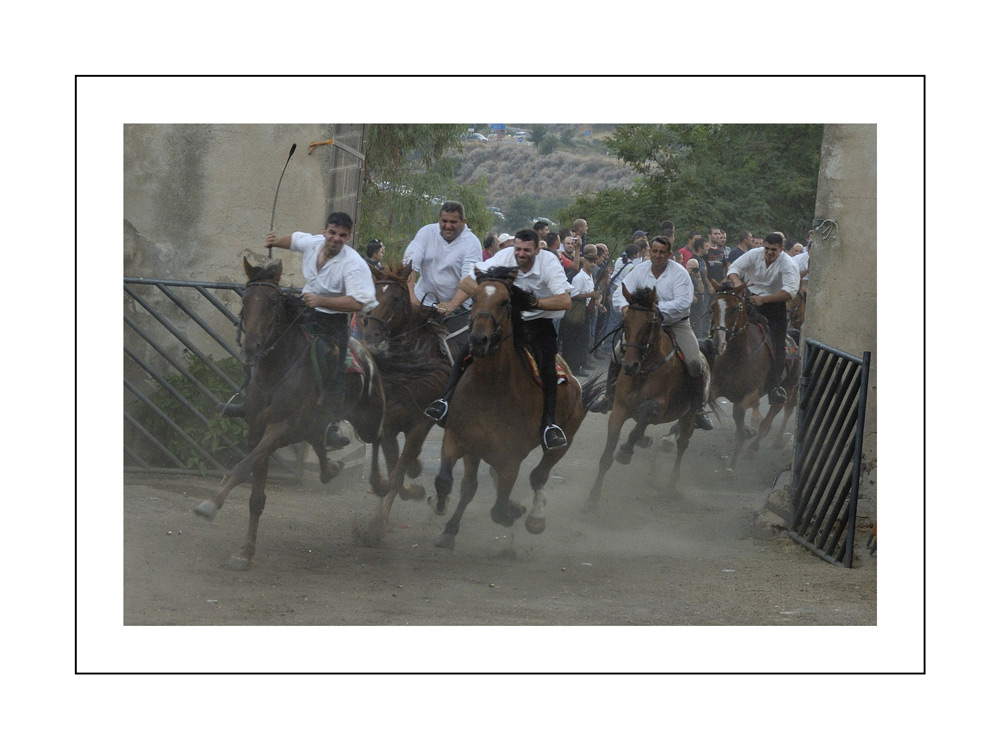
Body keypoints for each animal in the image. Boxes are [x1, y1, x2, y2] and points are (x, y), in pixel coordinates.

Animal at [193, 258, 384, 568]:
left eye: (273, 301)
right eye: (246, 299)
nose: (252, 347)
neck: (277, 371)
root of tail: (365, 351)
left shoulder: (278, 429)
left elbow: (242, 467)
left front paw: (209, 505)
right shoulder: (257, 430)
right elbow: (256, 495)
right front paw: (245, 552)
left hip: (369, 417)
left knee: (384, 441)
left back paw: (381, 499)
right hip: (311, 423)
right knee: (320, 440)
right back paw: (332, 468)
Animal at [428, 268, 596, 548]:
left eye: (505, 302)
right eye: (474, 298)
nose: (478, 340)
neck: (490, 390)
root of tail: (573, 380)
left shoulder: (510, 459)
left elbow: (498, 507)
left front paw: (512, 512)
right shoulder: (459, 440)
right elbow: (449, 482)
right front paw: (445, 519)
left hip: (565, 441)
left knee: (539, 476)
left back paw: (536, 517)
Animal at [584, 286, 704, 508]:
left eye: (649, 324)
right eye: (625, 320)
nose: (630, 365)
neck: (644, 371)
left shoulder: (659, 408)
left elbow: (644, 414)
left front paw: (625, 452)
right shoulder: (620, 409)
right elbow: (607, 456)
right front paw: (592, 498)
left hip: (688, 415)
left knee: (682, 443)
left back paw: (672, 484)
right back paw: (644, 441)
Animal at [708, 280, 800, 474]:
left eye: (734, 308)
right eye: (713, 307)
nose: (718, 342)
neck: (737, 356)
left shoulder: (753, 393)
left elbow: (739, 412)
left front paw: (731, 464)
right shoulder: (715, 388)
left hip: (787, 389)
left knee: (771, 418)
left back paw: (754, 447)